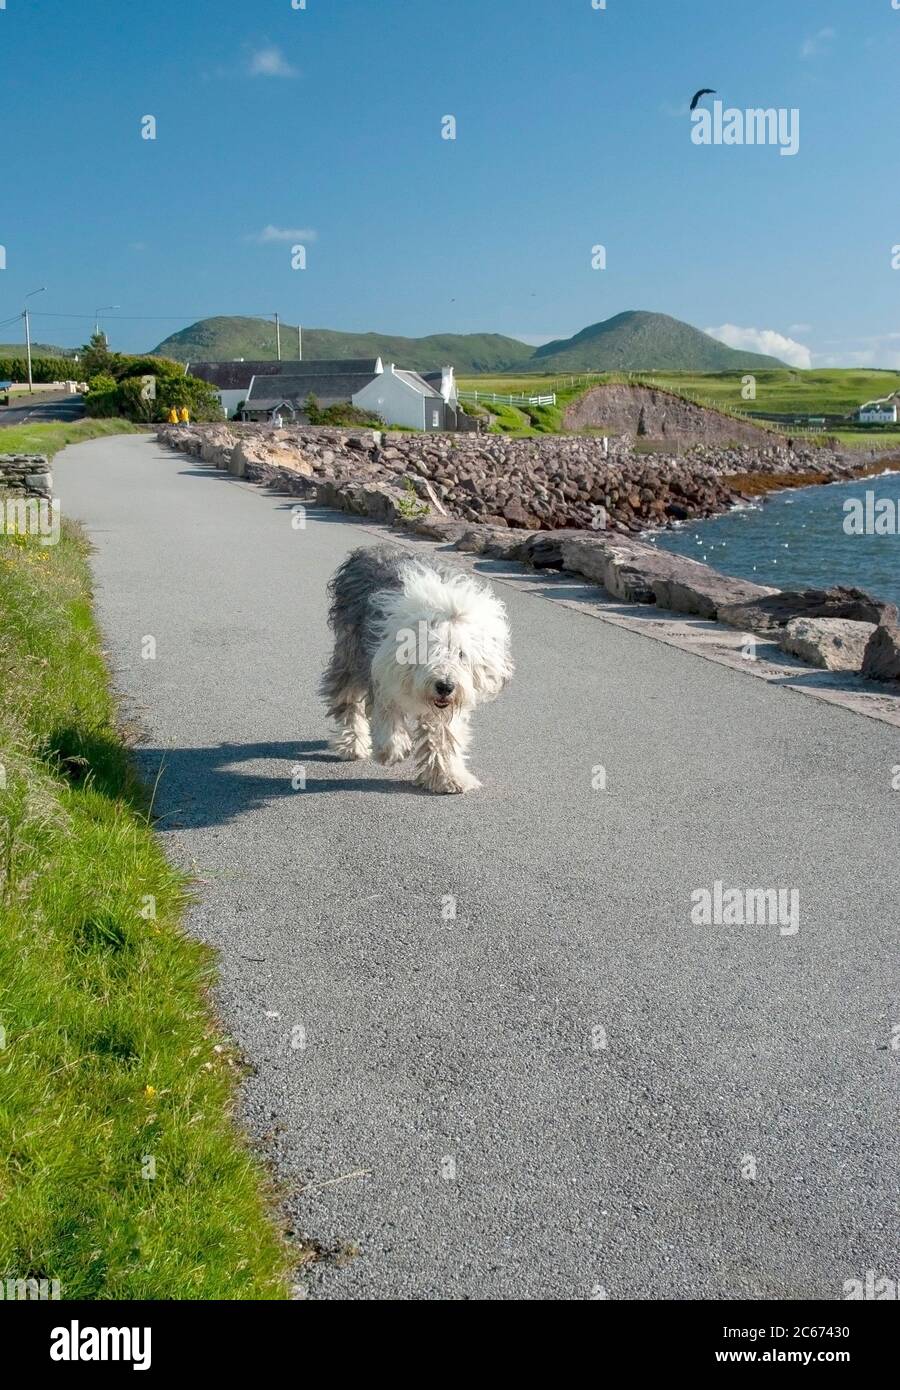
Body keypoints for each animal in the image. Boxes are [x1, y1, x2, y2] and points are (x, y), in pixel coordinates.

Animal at [322, 547, 514, 800]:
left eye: (462, 654)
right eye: (431, 651)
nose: (445, 686)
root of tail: (367, 551)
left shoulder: (445, 707)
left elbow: (444, 736)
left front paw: (448, 778)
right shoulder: (383, 672)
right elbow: (387, 710)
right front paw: (392, 749)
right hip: (351, 653)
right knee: (348, 699)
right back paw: (353, 745)